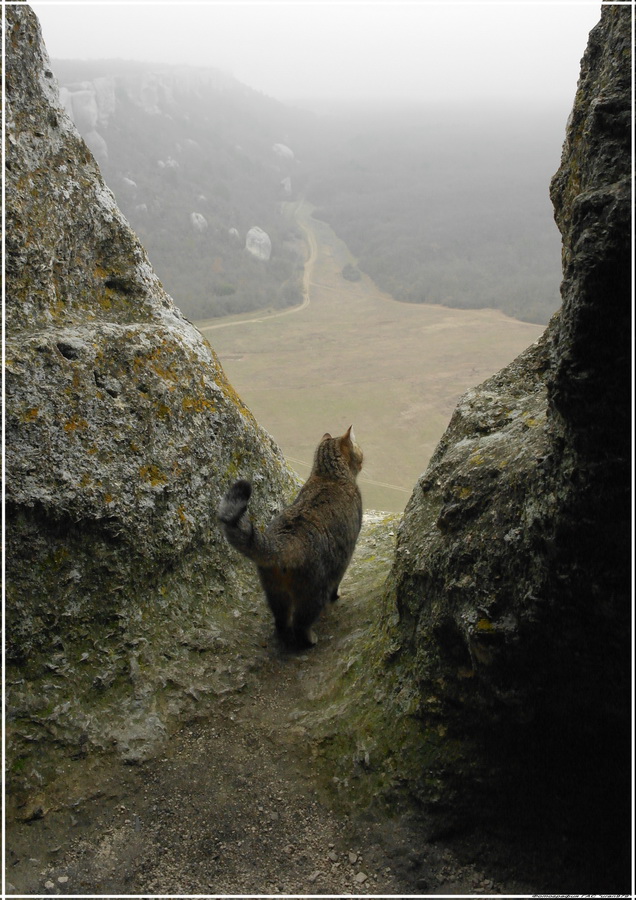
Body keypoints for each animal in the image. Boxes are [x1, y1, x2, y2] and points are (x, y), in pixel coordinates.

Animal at [217, 428, 362, 648]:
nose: (362, 456)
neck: (328, 475)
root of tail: (283, 544)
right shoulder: (345, 554)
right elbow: (338, 580)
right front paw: (337, 595)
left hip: (275, 592)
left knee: (281, 620)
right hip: (313, 592)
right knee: (301, 623)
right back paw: (309, 639)